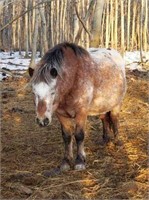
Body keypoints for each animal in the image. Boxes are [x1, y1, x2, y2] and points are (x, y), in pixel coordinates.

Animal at [28, 41, 126, 170]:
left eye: (52, 92)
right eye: (33, 92)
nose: (42, 120)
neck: (73, 78)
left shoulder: (81, 113)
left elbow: (79, 135)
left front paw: (80, 161)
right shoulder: (61, 115)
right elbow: (67, 136)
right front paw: (66, 162)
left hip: (116, 104)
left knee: (114, 120)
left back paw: (117, 141)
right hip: (102, 105)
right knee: (104, 118)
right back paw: (105, 139)